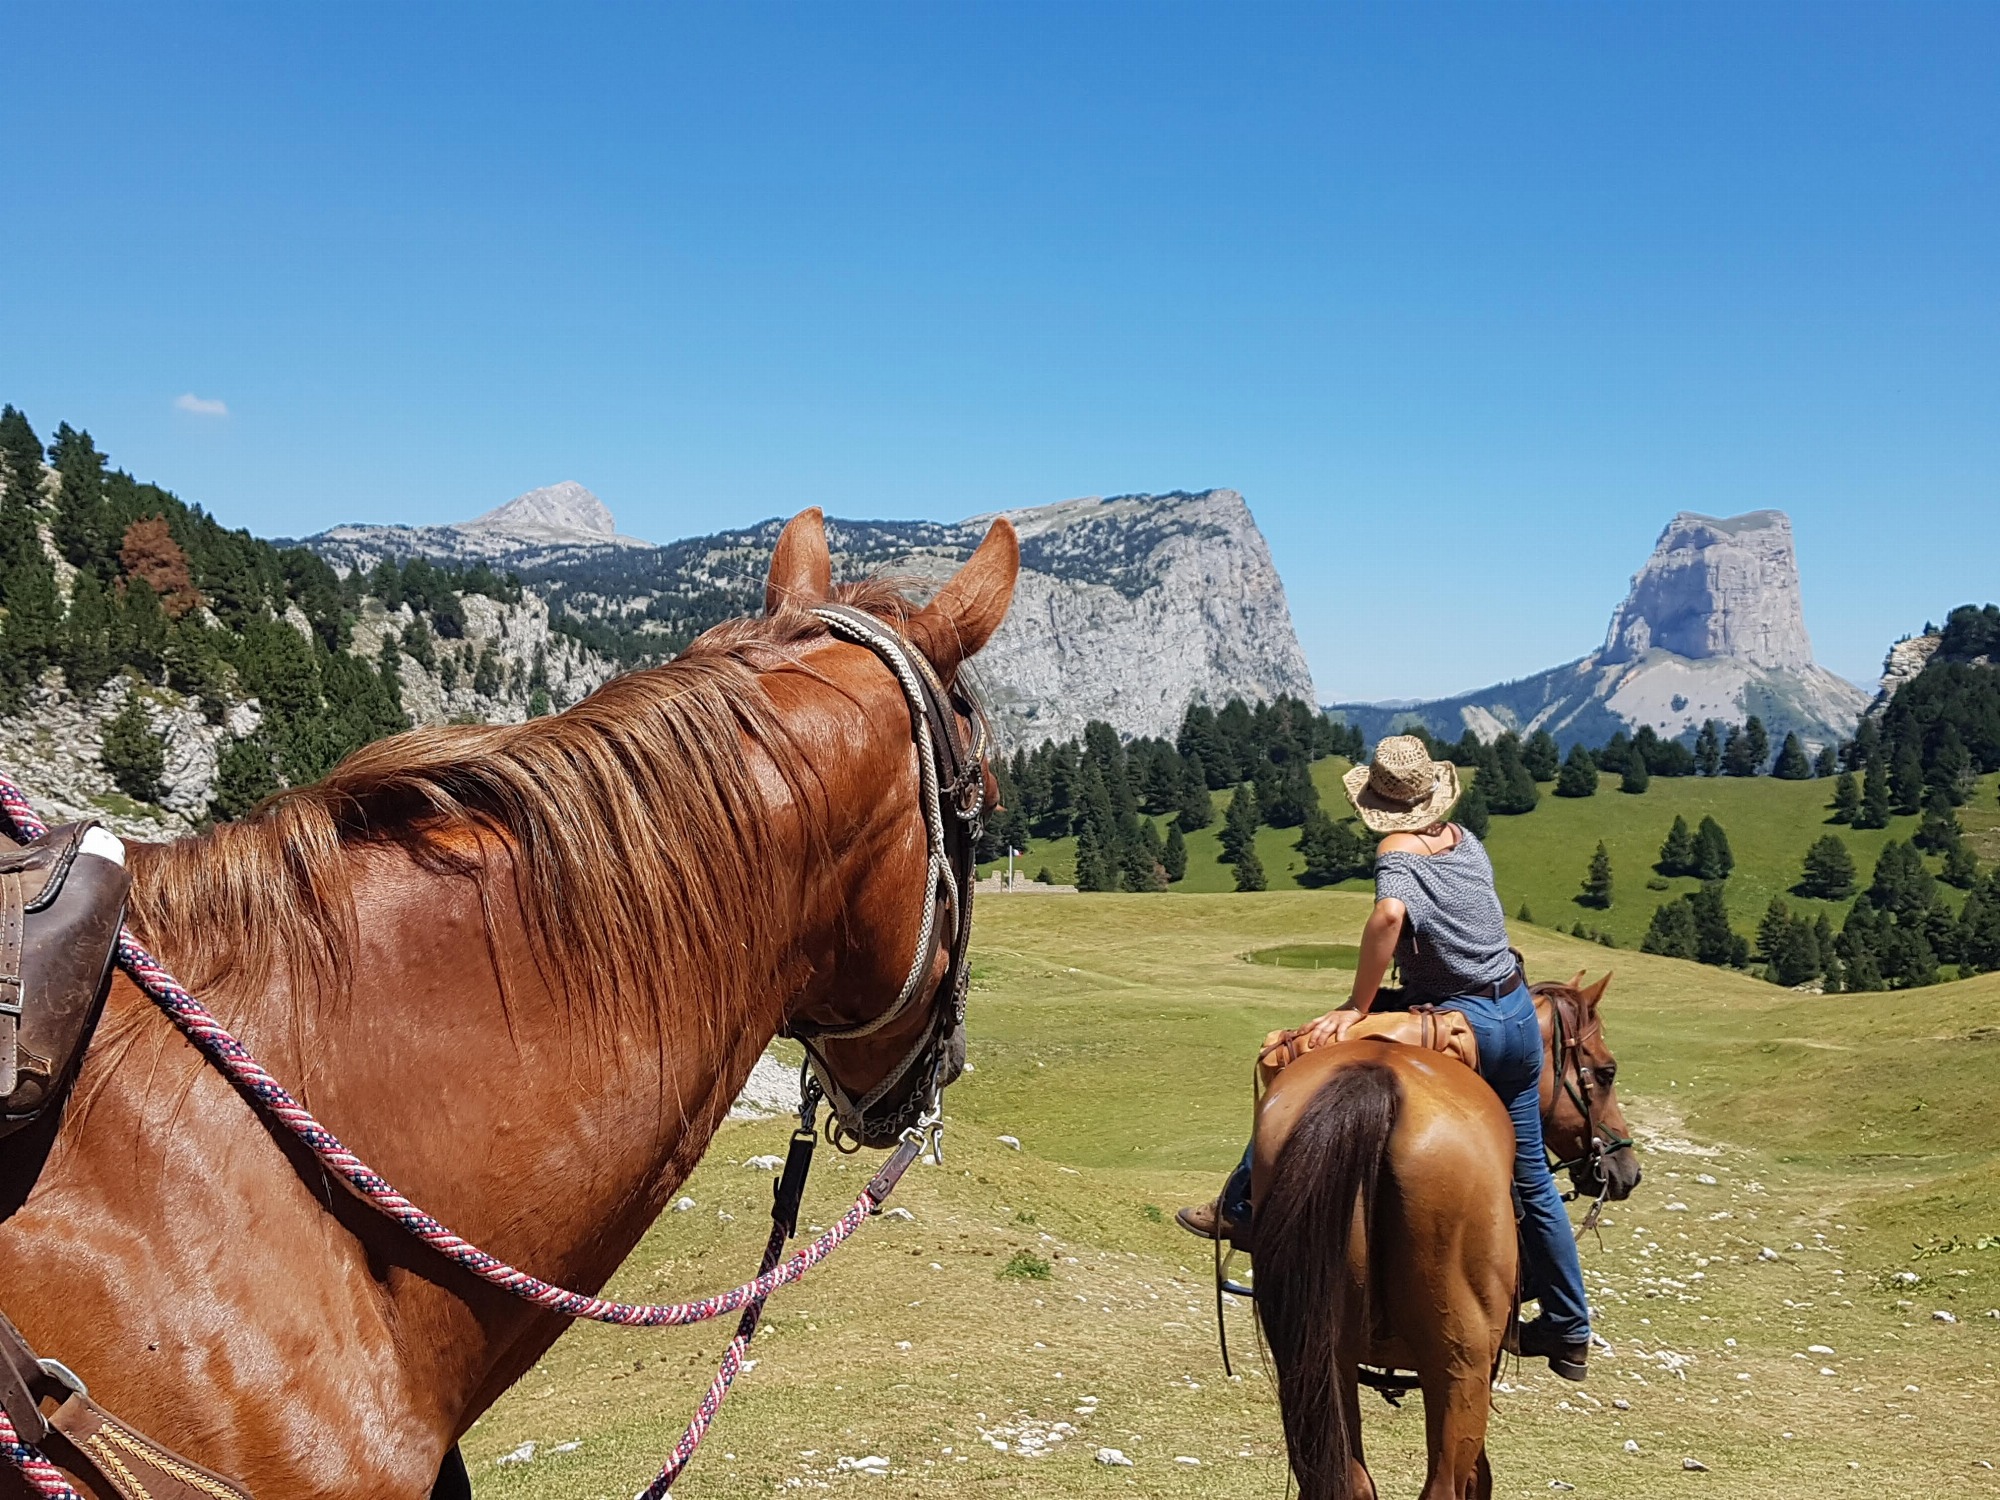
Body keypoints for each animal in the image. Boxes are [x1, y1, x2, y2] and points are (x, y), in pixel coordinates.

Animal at [1248, 980, 1640, 1496]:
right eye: (1608, 1071)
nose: (1626, 1171)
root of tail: (1378, 1081)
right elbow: (1481, 1478)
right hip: (1460, 1365)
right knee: (1444, 1485)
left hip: (1319, 1352)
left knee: (1351, 1479)